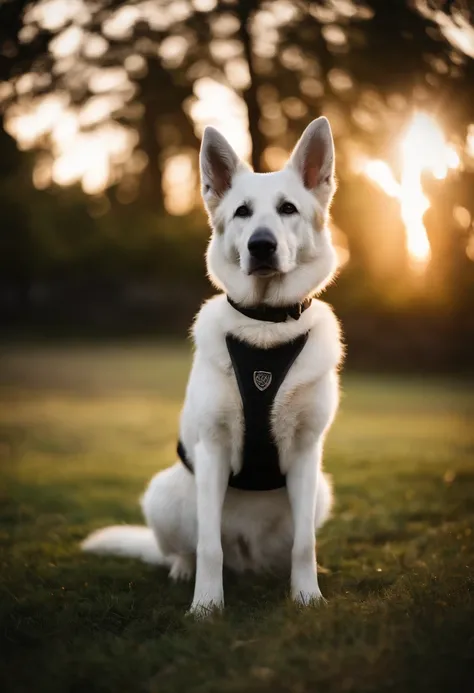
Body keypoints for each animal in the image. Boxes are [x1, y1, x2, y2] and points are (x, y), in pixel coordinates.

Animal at [81, 116, 340, 612]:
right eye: (242, 213)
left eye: (288, 209)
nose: (261, 245)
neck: (264, 326)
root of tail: (249, 561)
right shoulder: (214, 450)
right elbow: (208, 547)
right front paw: (205, 607)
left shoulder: (305, 453)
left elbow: (305, 545)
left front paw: (307, 597)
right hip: (166, 493)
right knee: (187, 548)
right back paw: (183, 571)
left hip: (319, 490)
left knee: (292, 546)